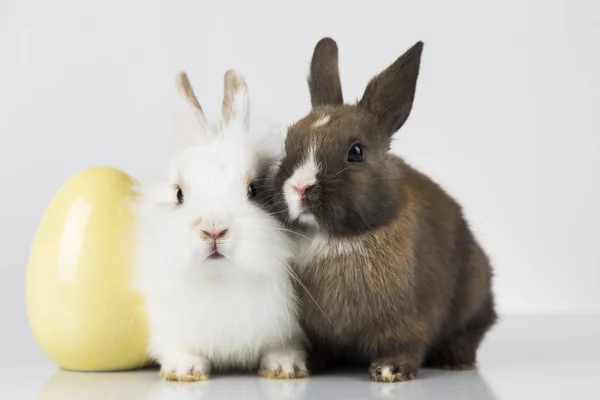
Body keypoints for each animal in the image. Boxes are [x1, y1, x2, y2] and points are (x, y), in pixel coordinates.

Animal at [133, 70, 308, 382]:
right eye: (179, 194)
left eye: (254, 190)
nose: (214, 230)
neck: (221, 280)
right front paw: (184, 370)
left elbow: (283, 346)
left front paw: (285, 367)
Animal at [272, 39, 496, 382]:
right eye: (288, 143)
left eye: (356, 152)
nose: (300, 188)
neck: (335, 239)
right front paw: (307, 365)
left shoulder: (406, 319)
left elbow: (402, 344)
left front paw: (390, 371)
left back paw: (454, 361)